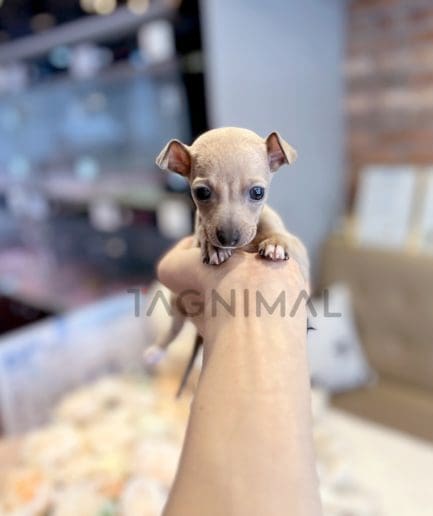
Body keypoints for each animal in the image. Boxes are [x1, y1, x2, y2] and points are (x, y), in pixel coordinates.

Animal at [144, 127, 309, 395]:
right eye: (202, 193)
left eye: (258, 192)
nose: (229, 238)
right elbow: (202, 233)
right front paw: (213, 247)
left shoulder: (299, 251)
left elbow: (281, 237)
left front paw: (275, 243)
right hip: (176, 302)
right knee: (172, 330)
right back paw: (156, 351)